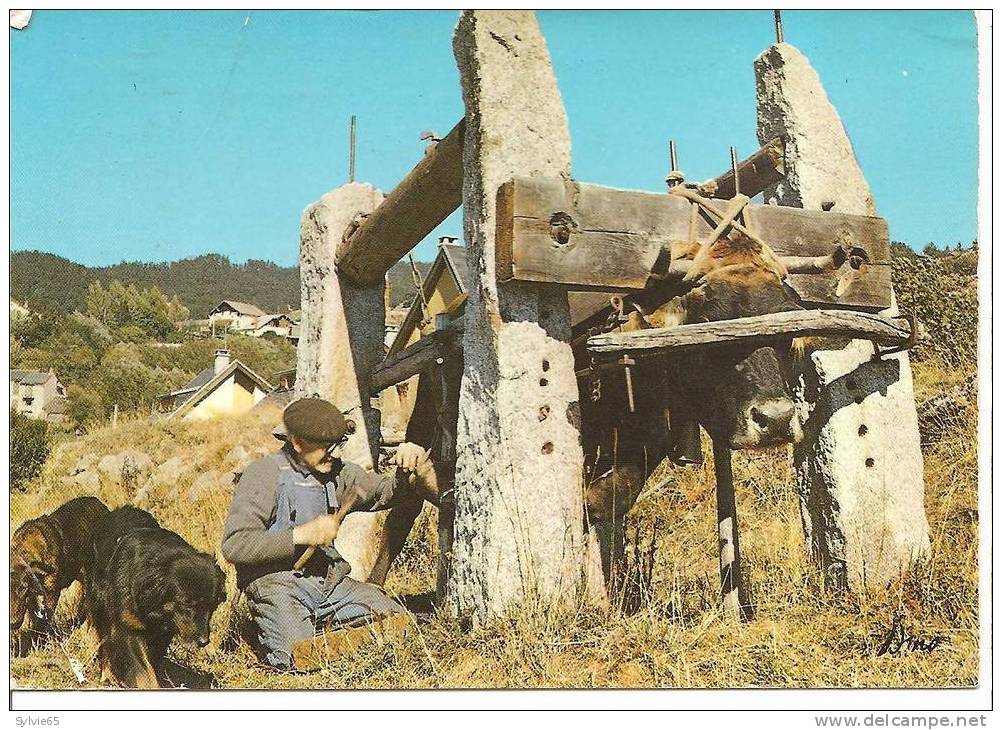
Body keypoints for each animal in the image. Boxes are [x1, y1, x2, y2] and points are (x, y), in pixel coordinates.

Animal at [10, 494, 110, 656]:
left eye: (23, 588)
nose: (13, 622)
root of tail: (101, 504)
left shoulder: (51, 592)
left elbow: (42, 622)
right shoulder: (32, 598)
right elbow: (34, 621)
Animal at [86, 504, 225, 684]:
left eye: (212, 606)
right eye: (186, 604)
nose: (203, 641)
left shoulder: (163, 632)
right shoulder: (128, 629)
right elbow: (144, 674)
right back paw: (106, 675)